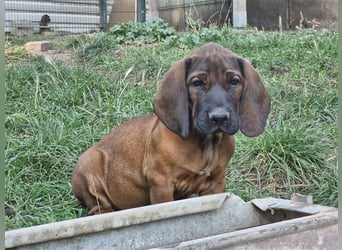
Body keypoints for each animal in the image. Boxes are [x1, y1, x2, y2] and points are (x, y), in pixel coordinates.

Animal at [71, 43, 270, 215]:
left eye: (235, 82)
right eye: (197, 83)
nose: (219, 117)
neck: (206, 143)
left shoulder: (215, 183)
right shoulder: (161, 182)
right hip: (88, 164)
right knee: (98, 207)